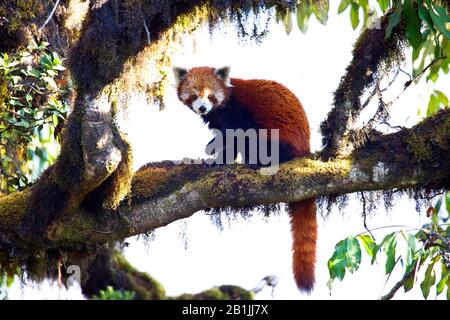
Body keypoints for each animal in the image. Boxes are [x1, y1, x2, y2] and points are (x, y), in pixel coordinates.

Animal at [172, 65, 316, 292]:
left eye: (210, 96)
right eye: (194, 95)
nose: (202, 108)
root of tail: (305, 148)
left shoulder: (237, 112)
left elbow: (235, 137)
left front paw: (218, 159)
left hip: (278, 136)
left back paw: (258, 162)